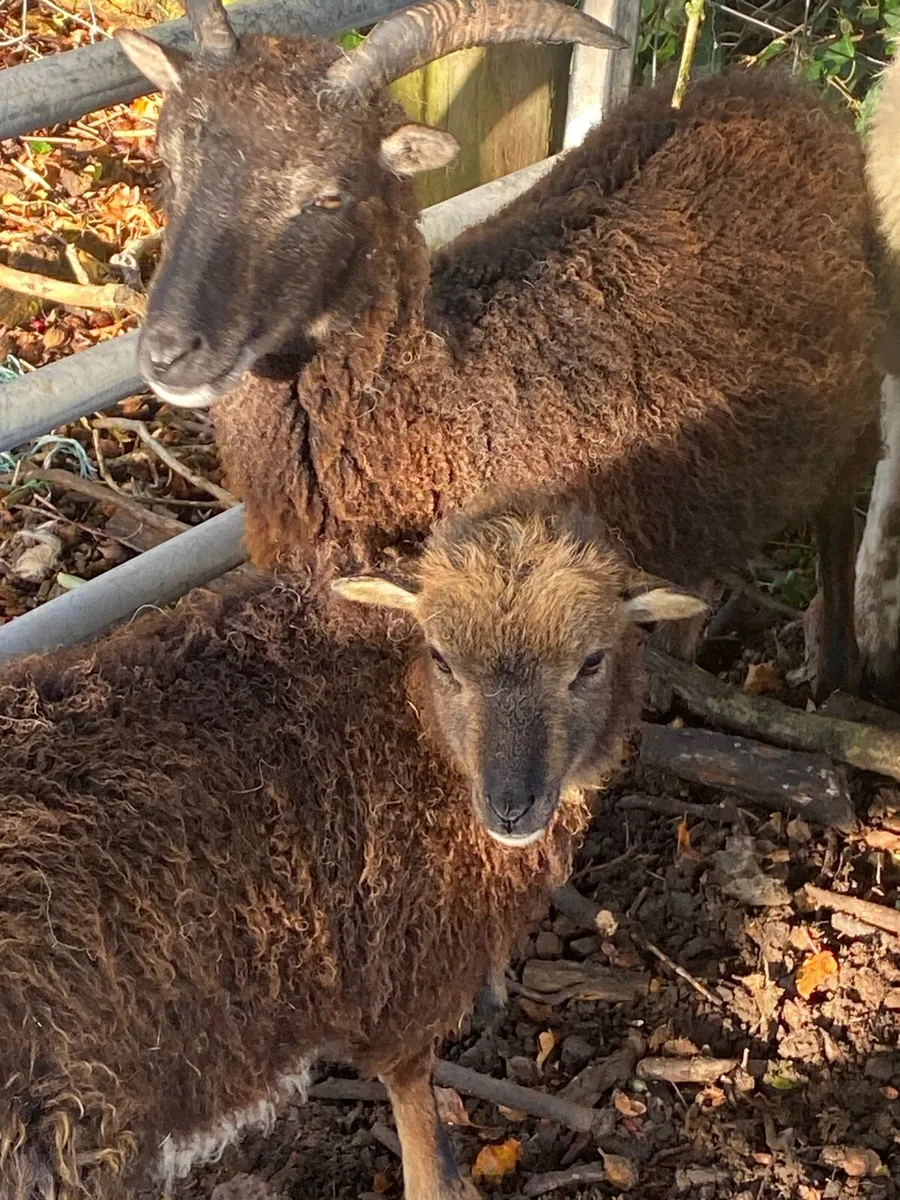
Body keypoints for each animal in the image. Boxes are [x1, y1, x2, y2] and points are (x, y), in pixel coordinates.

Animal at [0, 571, 622, 1200]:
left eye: (590, 659)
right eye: (445, 661)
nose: (513, 805)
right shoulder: (404, 960)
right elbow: (412, 1091)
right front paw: (438, 1179)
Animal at [116, 0, 885, 700]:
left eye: (329, 196)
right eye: (169, 161)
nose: (169, 352)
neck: (429, 401)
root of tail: (780, 88)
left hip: (860, 394)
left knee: (840, 518)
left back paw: (837, 671)